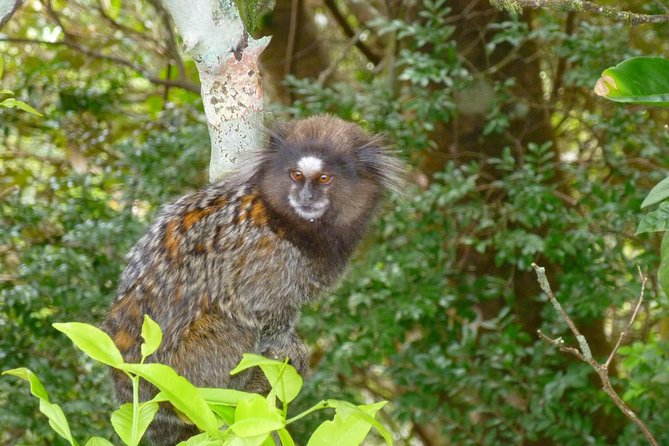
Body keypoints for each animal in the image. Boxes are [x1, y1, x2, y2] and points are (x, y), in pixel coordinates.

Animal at [103, 115, 404, 442]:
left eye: (324, 179)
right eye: (296, 175)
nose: (305, 196)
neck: (288, 222)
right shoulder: (269, 255)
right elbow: (255, 307)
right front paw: (287, 344)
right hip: (183, 371)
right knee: (231, 325)